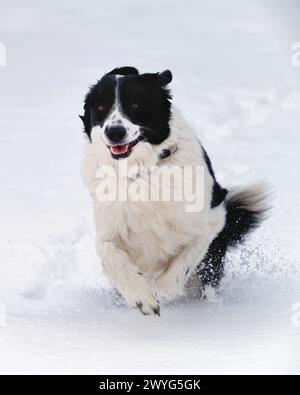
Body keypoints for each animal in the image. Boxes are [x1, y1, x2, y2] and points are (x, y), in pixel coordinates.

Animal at [80, 66, 270, 318]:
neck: (143, 171)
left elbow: (183, 263)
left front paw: (162, 291)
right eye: (100, 108)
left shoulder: (211, 221)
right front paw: (143, 298)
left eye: (135, 105)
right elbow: (111, 256)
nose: (115, 132)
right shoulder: (108, 232)